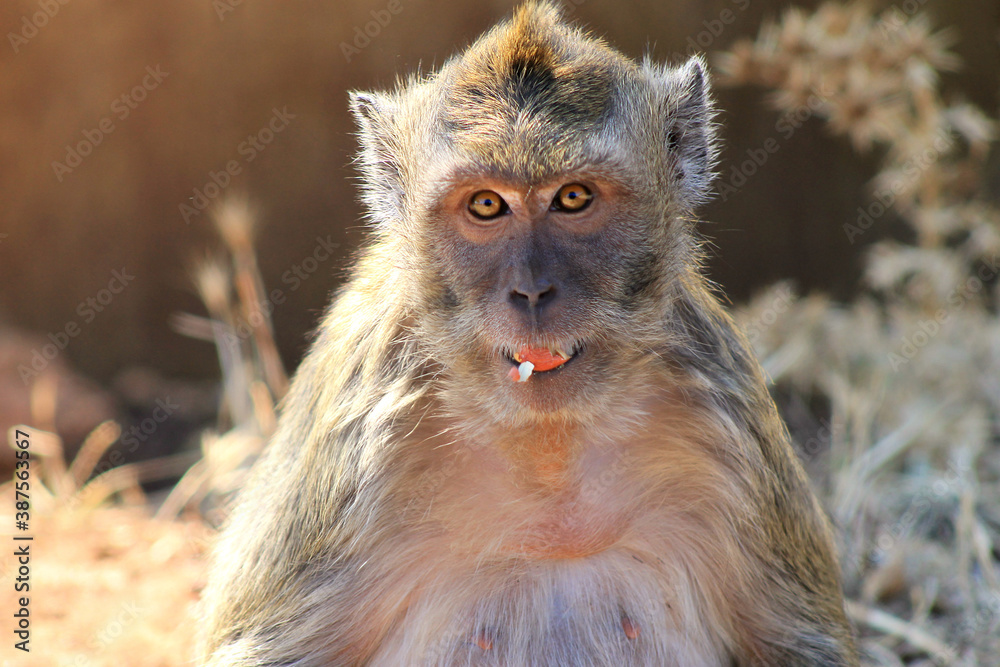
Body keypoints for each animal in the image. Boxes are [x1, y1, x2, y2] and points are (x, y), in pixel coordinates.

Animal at [199, 2, 858, 665]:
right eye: (487, 205)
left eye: (573, 197)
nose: (533, 292)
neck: (548, 445)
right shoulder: (360, 433)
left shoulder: (728, 412)